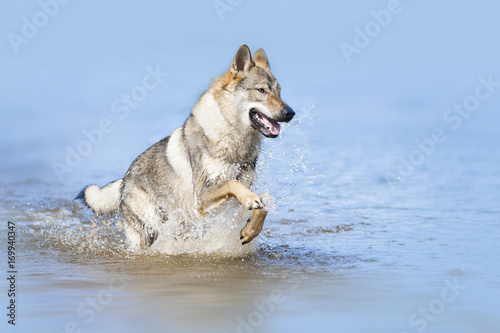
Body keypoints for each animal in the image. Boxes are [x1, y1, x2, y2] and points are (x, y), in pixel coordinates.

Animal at [76, 44, 294, 248]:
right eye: (261, 90)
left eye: (279, 92)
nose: (290, 113)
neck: (234, 142)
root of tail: (124, 181)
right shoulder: (202, 196)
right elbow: (232, 183)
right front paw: (250, 202)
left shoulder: (235, 197)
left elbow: (263, 204)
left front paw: (250, 231)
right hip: (153, 229)